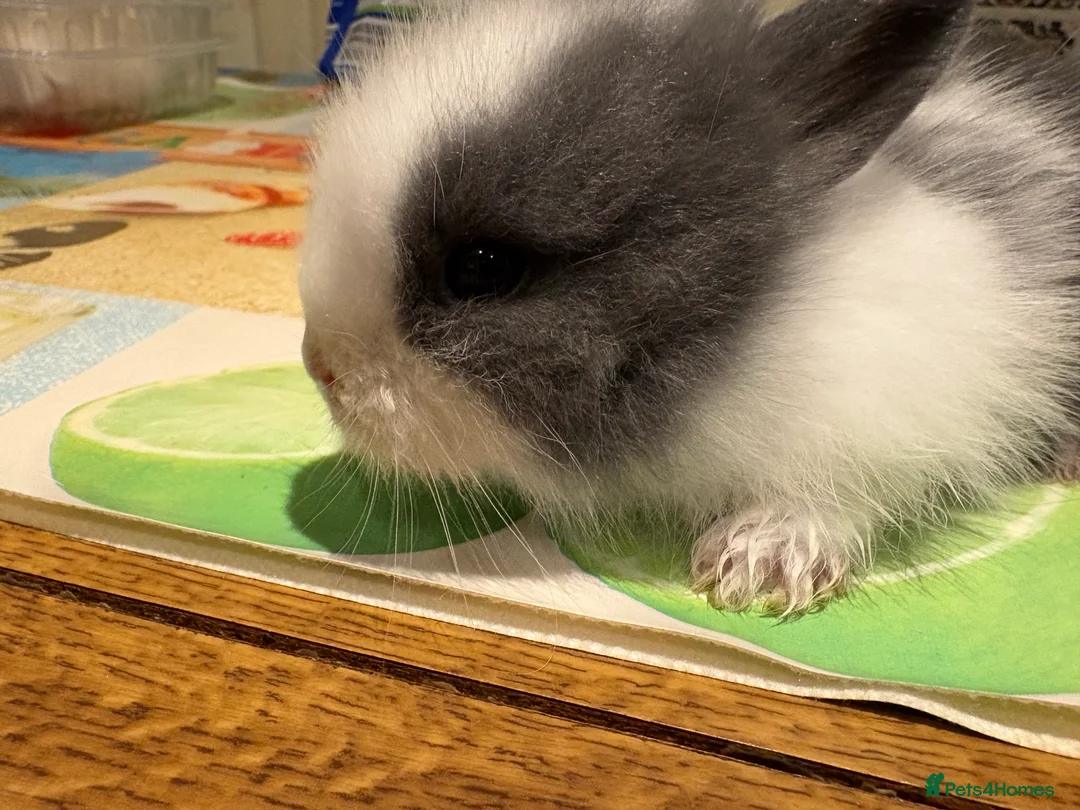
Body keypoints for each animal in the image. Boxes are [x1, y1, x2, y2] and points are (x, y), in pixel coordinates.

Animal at [299, 0, 1080, 615]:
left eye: (482, 268)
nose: (320, 368)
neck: (749, 324)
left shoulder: (903, 404)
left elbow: (840, 492)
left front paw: (760, 561)